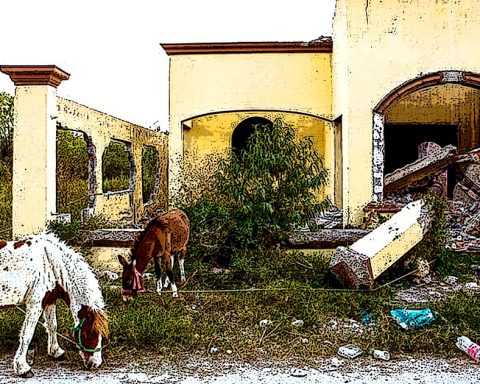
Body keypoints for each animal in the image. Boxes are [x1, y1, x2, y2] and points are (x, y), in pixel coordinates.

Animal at [0, 234, 109, 378]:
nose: (96, 364)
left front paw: (56, 352)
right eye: (89, 334)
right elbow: (27, 334)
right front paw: (22, 368)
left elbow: (52, 325)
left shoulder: (49, 300)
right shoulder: (35, 304)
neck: (50, 264)